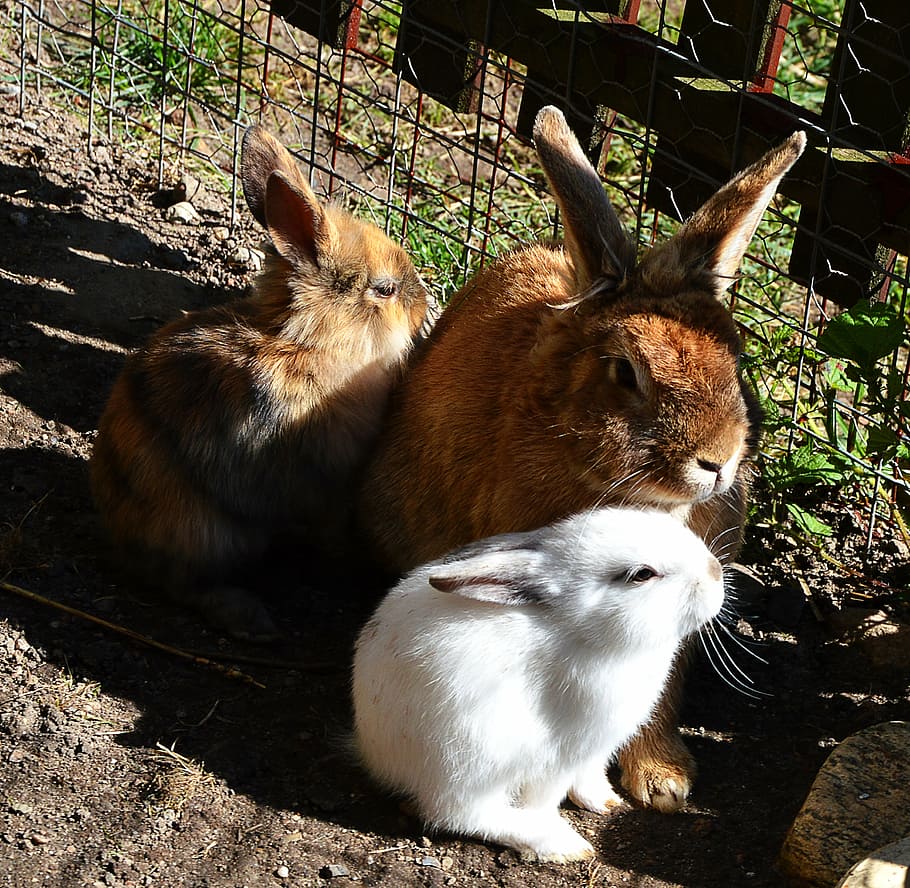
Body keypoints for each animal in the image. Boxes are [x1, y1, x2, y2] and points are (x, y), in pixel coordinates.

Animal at [90, 124, 428, 640]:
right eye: (385, 290)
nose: (424, 305)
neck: (309, 346)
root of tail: (118, 534)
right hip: (207, 534)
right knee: (184, 584)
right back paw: (251, 619)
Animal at [353, 506, 725, 862]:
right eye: (642, 574)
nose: (715, 572)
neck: (591, 636)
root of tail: (377, 754)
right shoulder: (561, 753)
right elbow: (543, 799)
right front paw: (555, 824)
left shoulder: (597, 748)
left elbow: (589, 777)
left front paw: (606, 802)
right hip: (474, 759)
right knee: (457, 813)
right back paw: (559, 844)